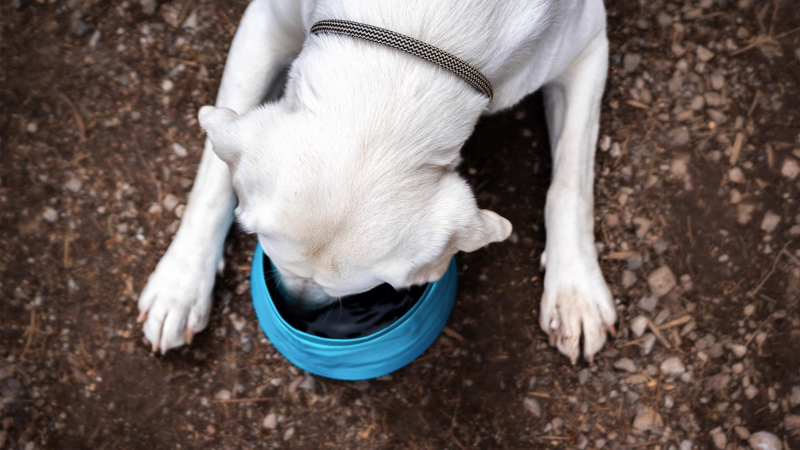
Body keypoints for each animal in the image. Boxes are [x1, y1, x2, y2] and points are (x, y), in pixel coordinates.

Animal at [138, 0, 616, 366]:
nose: (297, 309)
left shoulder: (589, 45)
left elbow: (571, 182)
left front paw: (575, 290)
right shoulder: (264, 25)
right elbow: (213, 173)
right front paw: (180, 283)